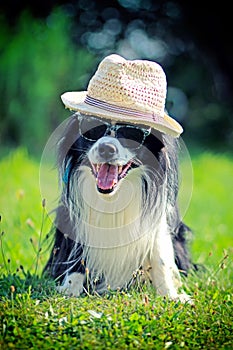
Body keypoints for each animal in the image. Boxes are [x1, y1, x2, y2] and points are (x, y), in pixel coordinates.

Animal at [43, 53, 195, 302]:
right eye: (93, 128)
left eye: (131, 132)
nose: (107, 149)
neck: (113, 196)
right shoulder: (72, 216)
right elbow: (77, 253)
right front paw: (70, 288)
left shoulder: (158, 223)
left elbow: (160, 256)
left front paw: (170, 295)